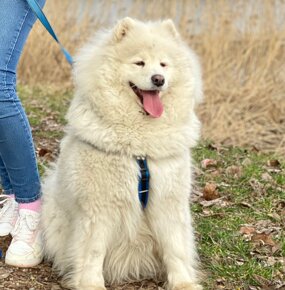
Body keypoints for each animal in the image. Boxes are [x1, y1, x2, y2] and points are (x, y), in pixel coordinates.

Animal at [41, 17, 203, 290]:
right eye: (139, 63)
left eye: (163, 64)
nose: (158, 79)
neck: (140, 149)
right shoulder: (99, 207)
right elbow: (93, 251)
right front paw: (91, 284)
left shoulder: (167, 200)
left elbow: (175, 247)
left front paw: (183, 283)